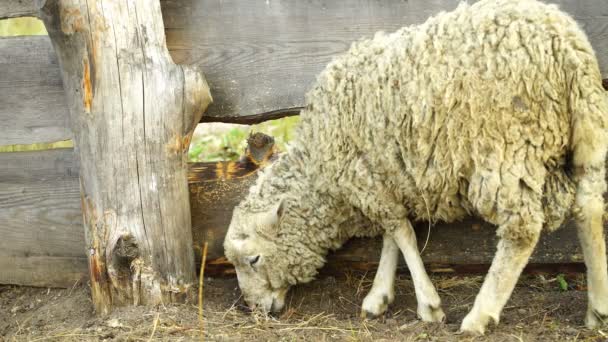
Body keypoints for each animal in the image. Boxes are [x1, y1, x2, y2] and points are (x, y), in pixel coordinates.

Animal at [223, 0, 608, 336]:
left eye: (253, 259)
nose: (253, 308)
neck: (319, 169)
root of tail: (563, 41)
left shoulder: (366, 179)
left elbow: (402, 233)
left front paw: (428, 305)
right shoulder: (385, 175)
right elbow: (391, 236)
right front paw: (379, 296)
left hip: (506, 145)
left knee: (522, 229)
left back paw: (479, 315)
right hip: (584, 126)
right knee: (589, 207)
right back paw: (598, 309)